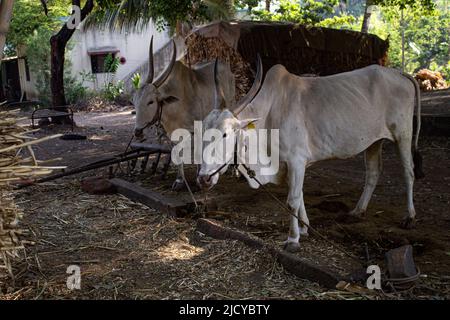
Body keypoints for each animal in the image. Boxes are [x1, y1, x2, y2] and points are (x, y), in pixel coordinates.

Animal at [133, 37, 236, 190]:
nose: (137, 131)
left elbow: (199, 151)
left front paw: (200, 179)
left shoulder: (198, 128)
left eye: (150, 102)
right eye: (134, 101)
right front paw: (179, 180)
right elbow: (177, 154)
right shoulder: (172, 134)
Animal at [199, 63, 424, 252]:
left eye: (225, 134)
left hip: (403, 134)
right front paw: (305, 228)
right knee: (373, 173)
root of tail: (399, 73)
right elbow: (299, 196)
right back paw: (357, 211)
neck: (270, 116)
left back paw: (410, 216)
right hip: (373, 142)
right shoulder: (291, 165)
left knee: (408, 172)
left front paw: (292, 240)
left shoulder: (296, 160)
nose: (203, 178)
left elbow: (293, 200)